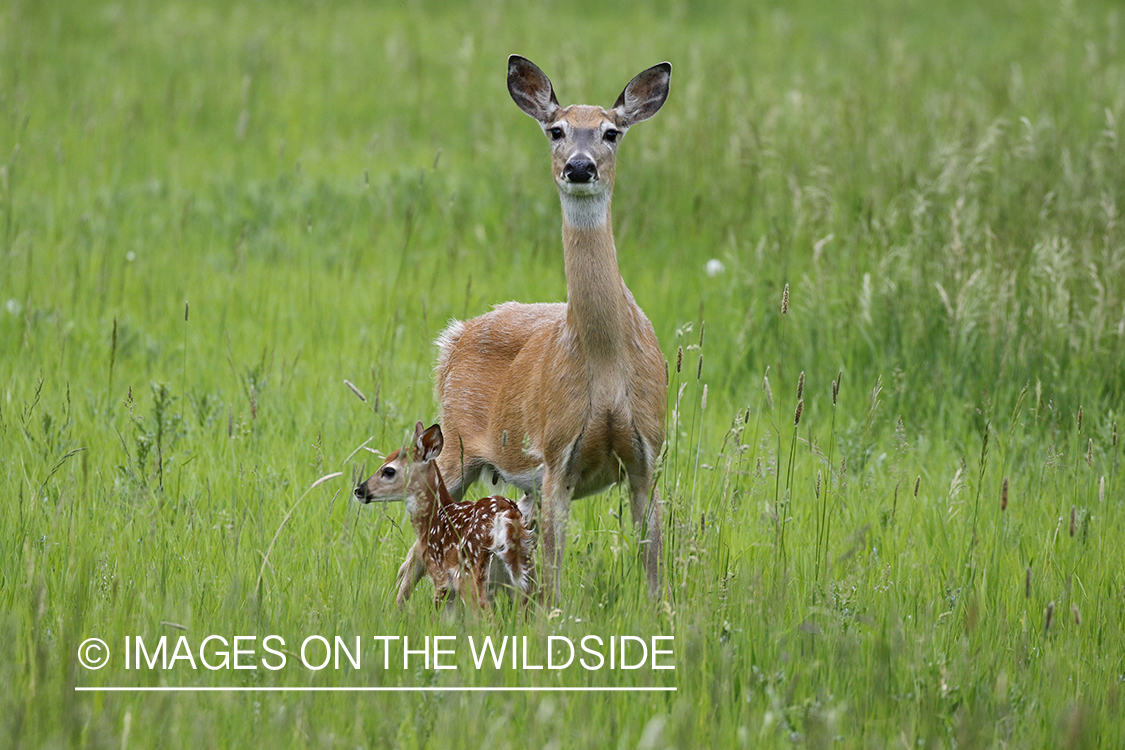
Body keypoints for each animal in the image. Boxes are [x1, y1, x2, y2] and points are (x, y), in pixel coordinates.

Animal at [360, 420, 535, 611]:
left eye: (389, 471)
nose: (359, 489)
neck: (434, 517)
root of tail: (506, 517)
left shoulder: (440, 574)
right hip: (522, 572)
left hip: (470, 573)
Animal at [396, 55, 670, 602]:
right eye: (555, 130)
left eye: (611, 132)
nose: (579, 166)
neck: (606, 363)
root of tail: (453, 338)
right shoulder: (555, 453)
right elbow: (554, 570)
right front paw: (553, 617)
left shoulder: (647, 452)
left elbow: (650, 561)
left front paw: (658, 612)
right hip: (455, 446)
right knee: (411, 557)